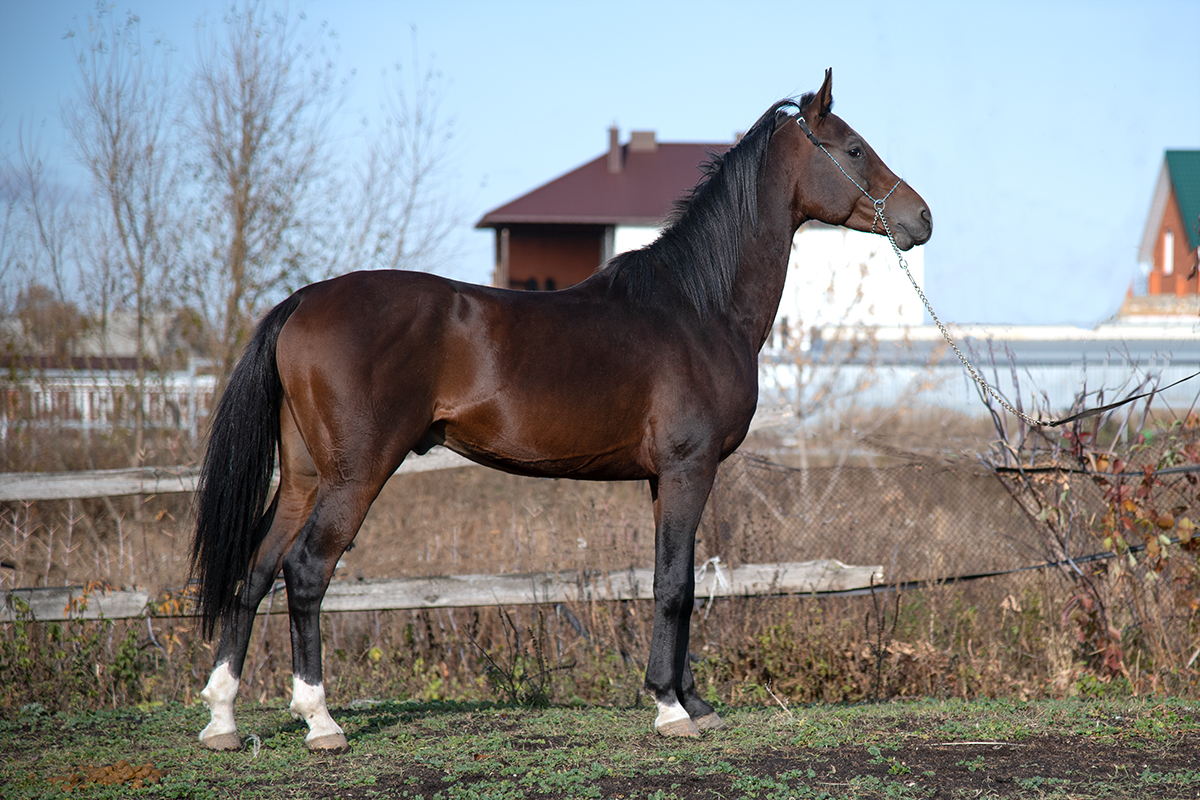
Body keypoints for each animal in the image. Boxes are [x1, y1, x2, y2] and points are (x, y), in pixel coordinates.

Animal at [192, 70, 931, 753]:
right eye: (855, 148)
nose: (922, 218)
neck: (697, 308)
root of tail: (302, 300)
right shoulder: (688, 469)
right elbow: (674, 586)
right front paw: (670, 708)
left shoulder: (664, 478)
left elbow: (677, 577)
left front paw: (691, 701)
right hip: (354, 475)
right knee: (304, 570)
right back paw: (319, 720)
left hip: (303, 477)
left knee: (255, 570)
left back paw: (223, 718)